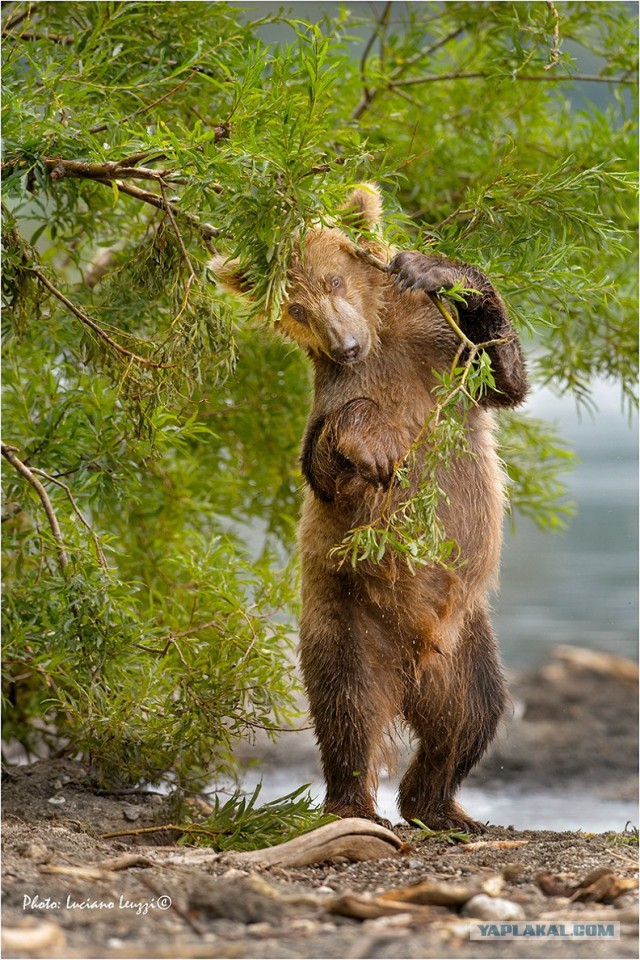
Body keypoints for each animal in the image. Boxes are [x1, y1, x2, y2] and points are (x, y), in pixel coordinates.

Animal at [212, 184, 528, 828]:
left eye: (334, 280)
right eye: (296, 308)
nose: (346, 344)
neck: (382, 341)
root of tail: (412, 670)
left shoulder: (441, 356)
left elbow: (502, 372)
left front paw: (435, 270)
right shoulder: (334, 396)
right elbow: (325, 462)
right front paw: (374, 446)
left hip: (466, 640)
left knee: (473, 715)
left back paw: (442, 808)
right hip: (349, 613)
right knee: (348, 708)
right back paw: (356, 806)